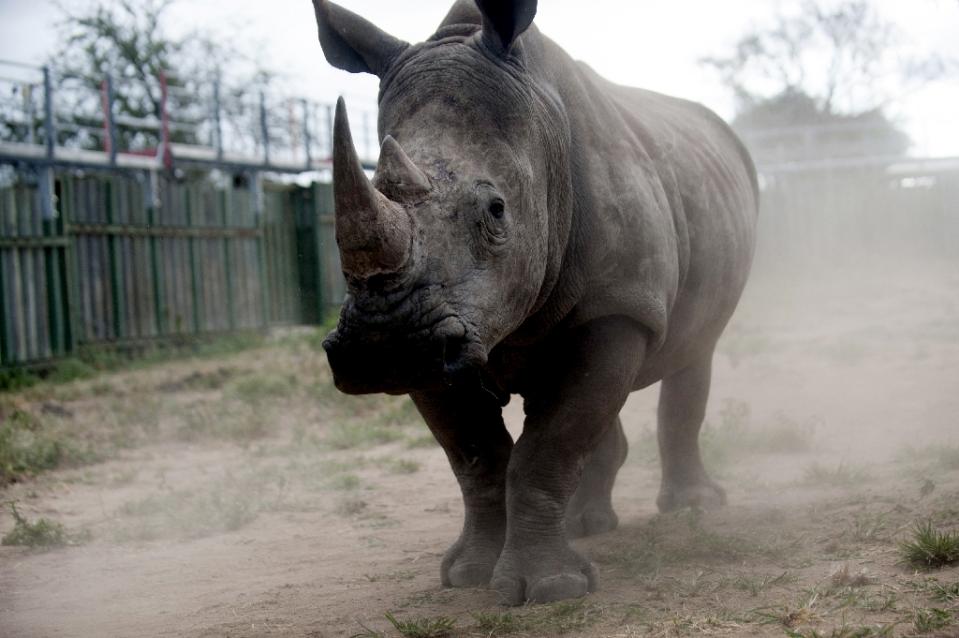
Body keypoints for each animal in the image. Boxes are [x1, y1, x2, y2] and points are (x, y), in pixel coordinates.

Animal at [312, 0, 758, 605]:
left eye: (497, 210)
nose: (385, 343)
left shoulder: (619, 305)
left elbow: (551, 444)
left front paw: (548, 590)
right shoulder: (438, 348)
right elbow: (476, 456)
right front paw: (468, 575)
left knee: (695, 350)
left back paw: (693, 509)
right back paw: (586, 525)